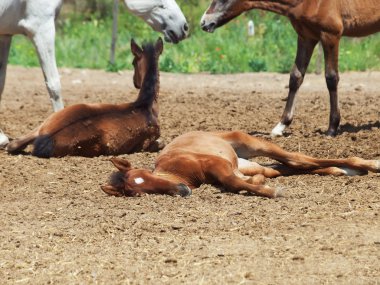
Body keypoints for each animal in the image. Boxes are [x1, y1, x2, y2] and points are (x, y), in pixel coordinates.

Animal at [6, 37, 163, 158]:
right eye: (133, 62)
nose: (136, 83)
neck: (145, 105)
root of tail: (47, 137)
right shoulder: (146, 143)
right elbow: (161, 144)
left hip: (46, 121)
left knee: (13, 144)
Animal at [200, 0, 378, 136]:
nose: (203, 22)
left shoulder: (331, 35)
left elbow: (331, 78)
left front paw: (332, 128)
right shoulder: (306, 37)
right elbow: (296, 77)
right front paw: (280, 126)